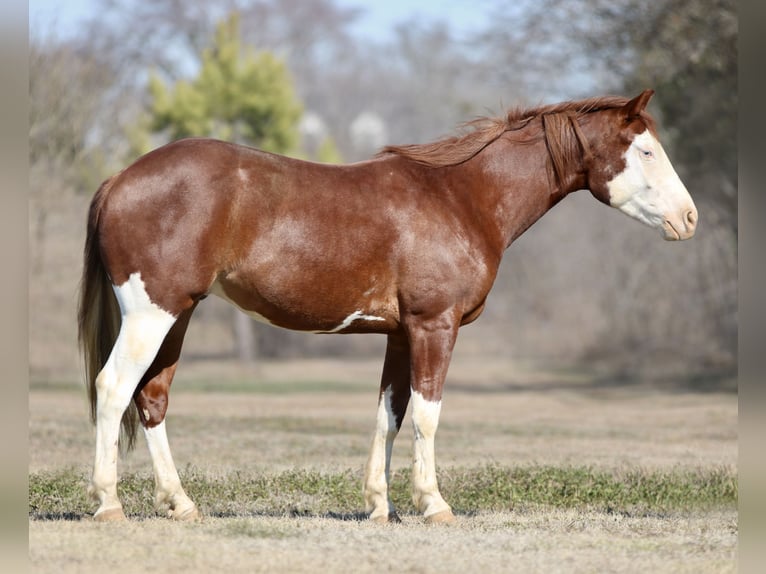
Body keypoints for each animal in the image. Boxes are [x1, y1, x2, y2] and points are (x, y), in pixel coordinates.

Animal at [78, 89, 697, 523]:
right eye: (645, 149)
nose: (688, 218)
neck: (461, 197)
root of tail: (120, 179)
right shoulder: (434, 328)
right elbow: (426, 414)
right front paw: (433, 504)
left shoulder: (400, 334)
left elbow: (389, 414)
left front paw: (381, 504)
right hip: (152, 315)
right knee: (114, 388)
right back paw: (109, 504)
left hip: (177, 315)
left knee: (152, 398)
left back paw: (180, 504)